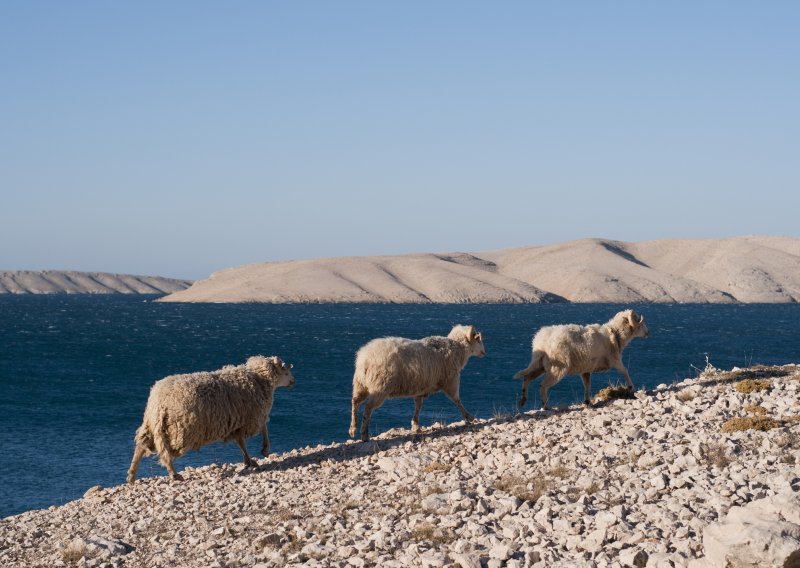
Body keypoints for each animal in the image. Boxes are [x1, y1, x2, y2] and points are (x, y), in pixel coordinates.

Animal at [126, 356, 296, 484]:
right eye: (286, 371)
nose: (293, 382)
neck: (259, 379)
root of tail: (157, 402)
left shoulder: (237, 423)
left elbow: (241, 442)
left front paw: (249, 461)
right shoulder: (253, 417)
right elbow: (264, 428)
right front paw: (264, 450)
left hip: (153, 426)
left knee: (141, 447)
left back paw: (132, 476)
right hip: (179, 429)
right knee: (165, 453)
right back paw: (173, 474)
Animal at [352, 324, 488, 440]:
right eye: (478, 339)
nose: (484, 352)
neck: (458, 348)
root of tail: (364, 358)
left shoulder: (422, 387)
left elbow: (418, 406)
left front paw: (415, 425)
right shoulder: (451, 381)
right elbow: (457, 400)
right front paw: (469, 417)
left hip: (361, 385)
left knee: (355, 402)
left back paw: (352, 429)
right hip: (380, 387)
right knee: (367, 408)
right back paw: (364, 434)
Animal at [512, 308, 648, 410]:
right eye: (639, 322)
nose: (648, 333)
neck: (615, 333)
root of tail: (541, 342)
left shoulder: (586, 369)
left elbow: (587, 384)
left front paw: (587, 401)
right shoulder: (614, 360)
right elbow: (625, 371)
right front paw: (631, 387)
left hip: (540, 365)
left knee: (527, 377)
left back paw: (523, 400)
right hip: (558, 367)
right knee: (543, 385)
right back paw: (545, 406)